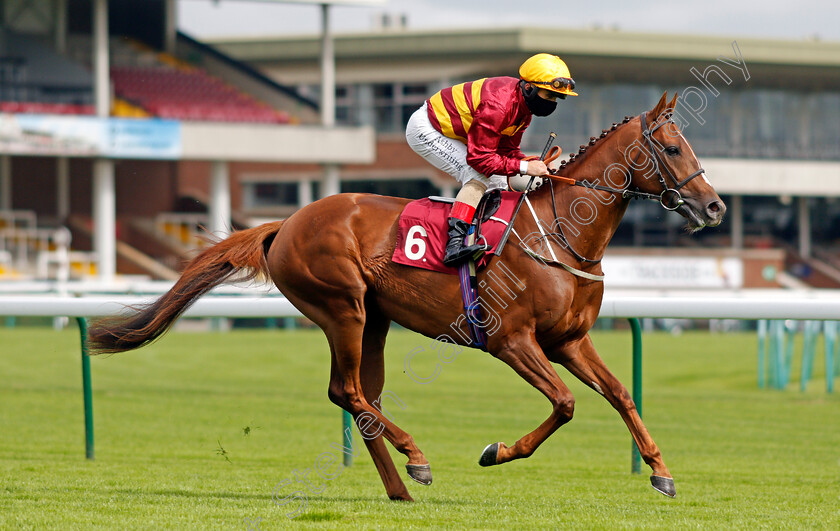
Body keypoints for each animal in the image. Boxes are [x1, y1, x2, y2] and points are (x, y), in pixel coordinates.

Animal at [88, 93, 724, 504]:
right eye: (672, 148)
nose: (715, 206)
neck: (561, 230)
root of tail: (286, 222)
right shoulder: (512, 341)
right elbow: (566, 404)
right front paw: (496, 451)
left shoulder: (568, 340)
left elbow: (620, 393)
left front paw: (661, 472)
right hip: (342, 307)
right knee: (346, 391)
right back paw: (415, 460)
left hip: (373, 320)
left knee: (361, 398)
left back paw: (398, 487)